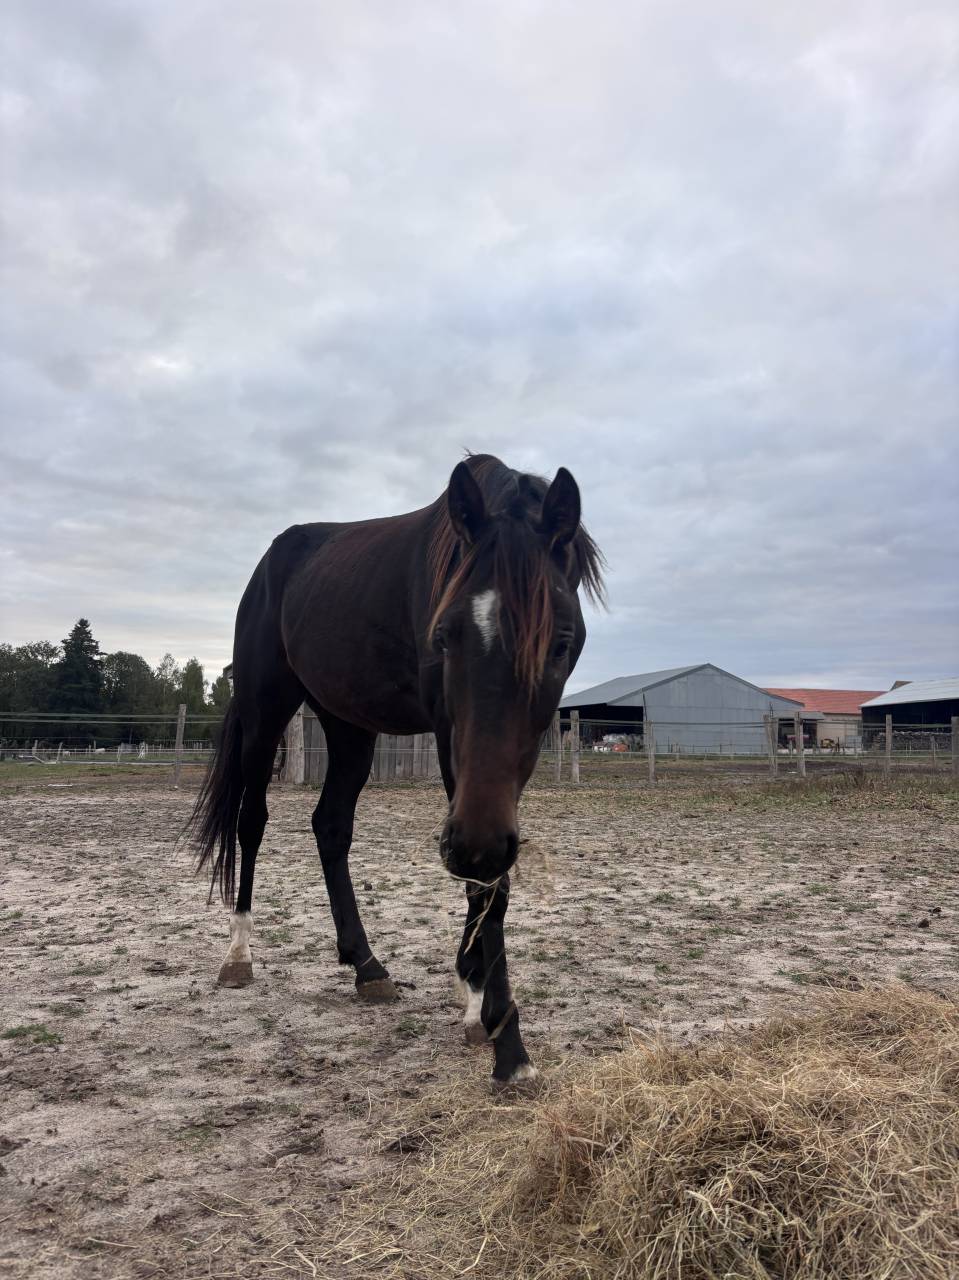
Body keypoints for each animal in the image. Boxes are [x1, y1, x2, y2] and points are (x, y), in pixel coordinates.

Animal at [190, 453, 604, 1088]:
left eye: (559, 643)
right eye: (445, 636)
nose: (474, 843)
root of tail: (273, 560)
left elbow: (491, 880)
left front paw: (472, 995)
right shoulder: (452, 742)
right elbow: (489, 884)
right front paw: (508, 1046)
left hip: (348, 725)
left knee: (330, 826)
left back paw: (366, 965)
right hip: (265, 714)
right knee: (251, 821)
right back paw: (239, 956)